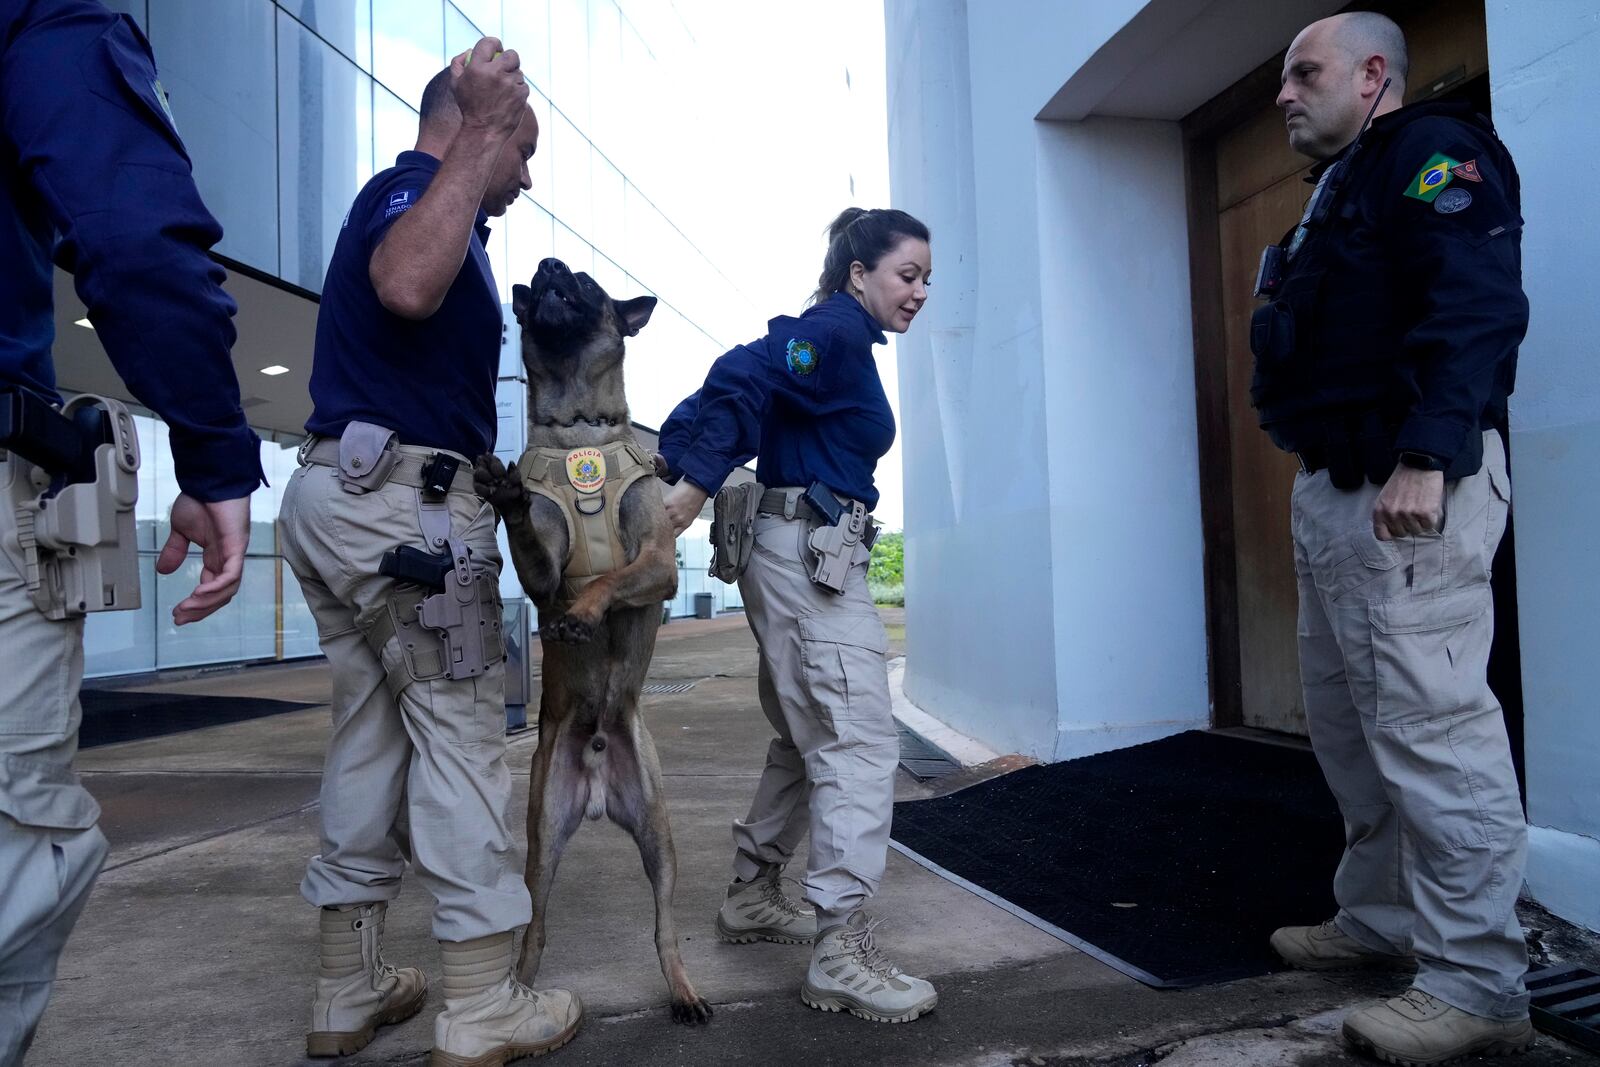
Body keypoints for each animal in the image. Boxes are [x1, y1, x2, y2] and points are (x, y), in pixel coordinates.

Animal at [473, 255, 713, 1023]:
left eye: (584, 279)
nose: (549, 264)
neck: (579, 429)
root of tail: (603, 777)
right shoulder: (542, 568)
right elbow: (548, 560)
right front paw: (511, 497)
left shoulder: (659, 565)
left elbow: (610, 579)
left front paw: (583, 614)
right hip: (543, 835)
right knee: (535, 928)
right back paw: (522, 991)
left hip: (661, 837)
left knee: (665, 927)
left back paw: (684, 989)